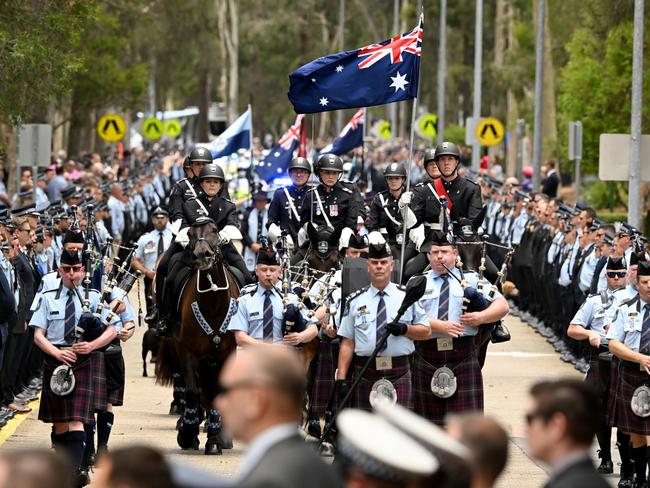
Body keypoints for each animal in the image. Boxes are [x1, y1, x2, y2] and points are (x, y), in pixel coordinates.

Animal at [154, 219, 238, 456]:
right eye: (190, 233)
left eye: (215, 231)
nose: (202, 255)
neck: (213, 304)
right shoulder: (188, 351)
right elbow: (192, 390)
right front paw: (188, 433)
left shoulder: (226, 354)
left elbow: (218, 392)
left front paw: (215, 440)